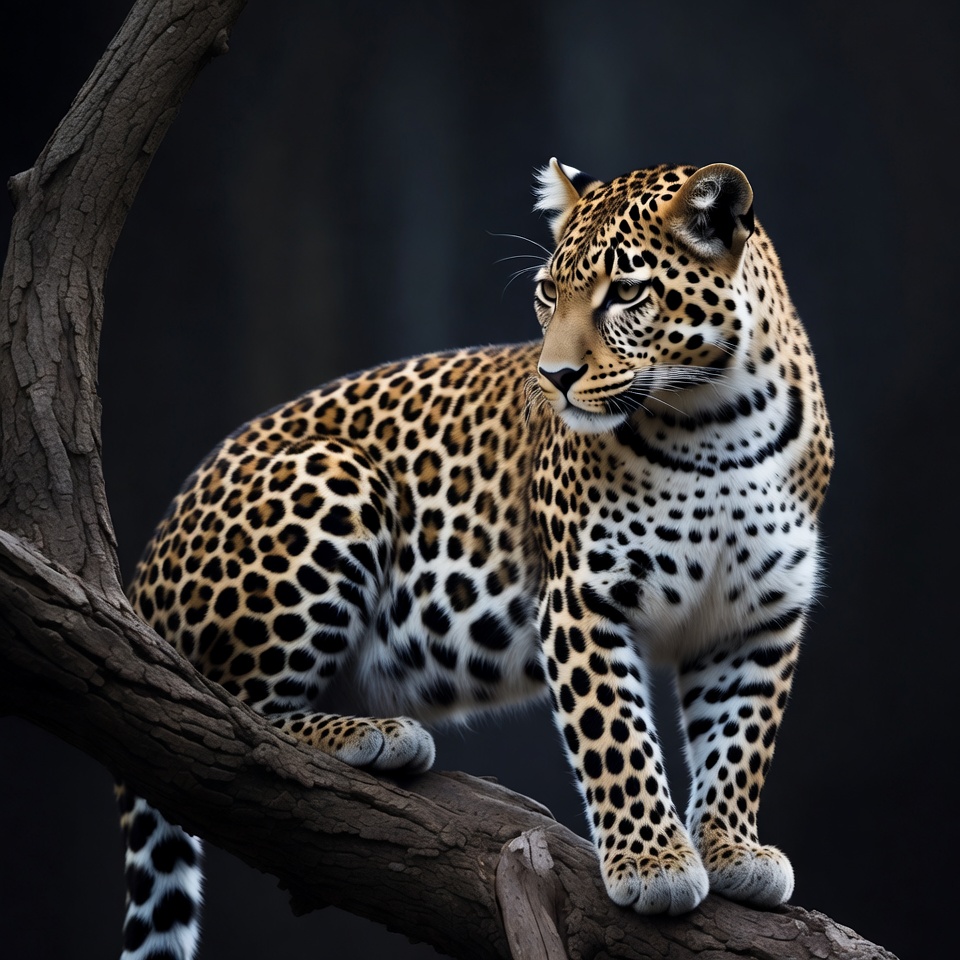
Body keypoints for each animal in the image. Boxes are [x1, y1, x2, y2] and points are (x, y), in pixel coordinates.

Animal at [116, 158, 832, 960]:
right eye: (549, 291)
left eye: (626, 292)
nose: (553, 377)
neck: (720, 422)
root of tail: (143, 576)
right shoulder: (583, 596)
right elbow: (616, 737)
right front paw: (654, 863)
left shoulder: (758, 615)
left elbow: (740, 739)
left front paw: (733, 848)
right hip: (335, 475)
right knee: (232, 717)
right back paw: (369, 736)